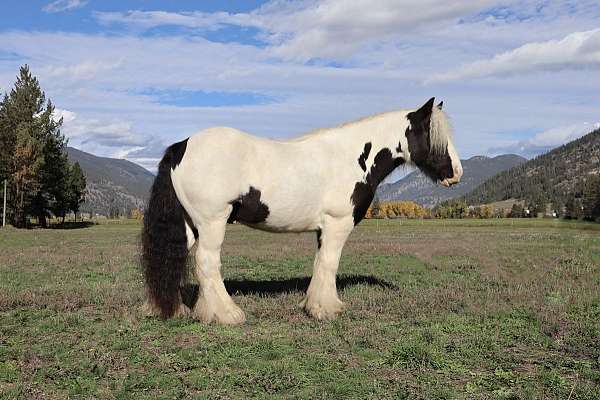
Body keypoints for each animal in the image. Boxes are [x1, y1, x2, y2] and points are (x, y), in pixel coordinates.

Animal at [142, 97, 464, 324]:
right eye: (433, 134)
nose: (456, 173)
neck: (350, 156)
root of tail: (182, 146)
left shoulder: (323, 228)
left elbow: (320, 263)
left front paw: (314, 305)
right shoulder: (338, 223)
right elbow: (330, 263)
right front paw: (327, 310)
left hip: (191, 224)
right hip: (212, 222)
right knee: (207, 262)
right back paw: (228, 315)